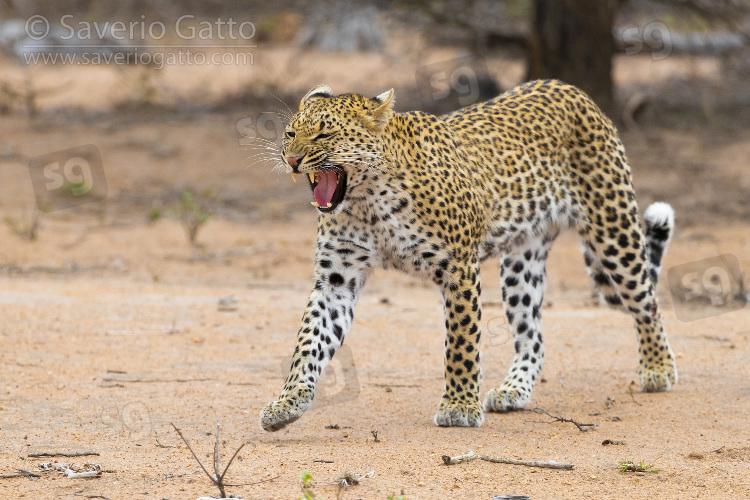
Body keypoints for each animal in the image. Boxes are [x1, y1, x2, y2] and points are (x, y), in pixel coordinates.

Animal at [262, 80, 680, 432]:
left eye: (324, 134)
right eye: (290, 133)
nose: (291, 159)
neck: (367, 202)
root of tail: (572, 89)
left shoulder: (459, 268)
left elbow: (461, 342)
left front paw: (459, 406)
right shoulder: (337, 279)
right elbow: (309, 343)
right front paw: (287, 403)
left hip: (614, 232)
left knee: (647, 301)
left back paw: (658, 368)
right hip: (521, 263)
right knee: (532, 336)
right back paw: (514, 390)